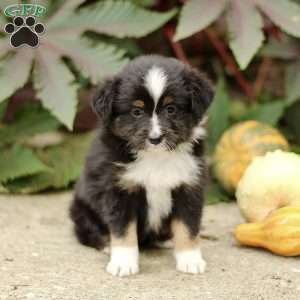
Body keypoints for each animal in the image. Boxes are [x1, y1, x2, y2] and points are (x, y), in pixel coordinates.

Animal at [70, 55, 213, 276]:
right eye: (136, 111)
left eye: (171, 109)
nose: (155, 139)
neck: (156, 157)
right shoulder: (120, 189)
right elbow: (123, 231)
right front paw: (123, 263)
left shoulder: (189, 187)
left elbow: (187, 227)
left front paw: (190, 260)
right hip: (81, 208)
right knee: (87, 232)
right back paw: (106, 245)